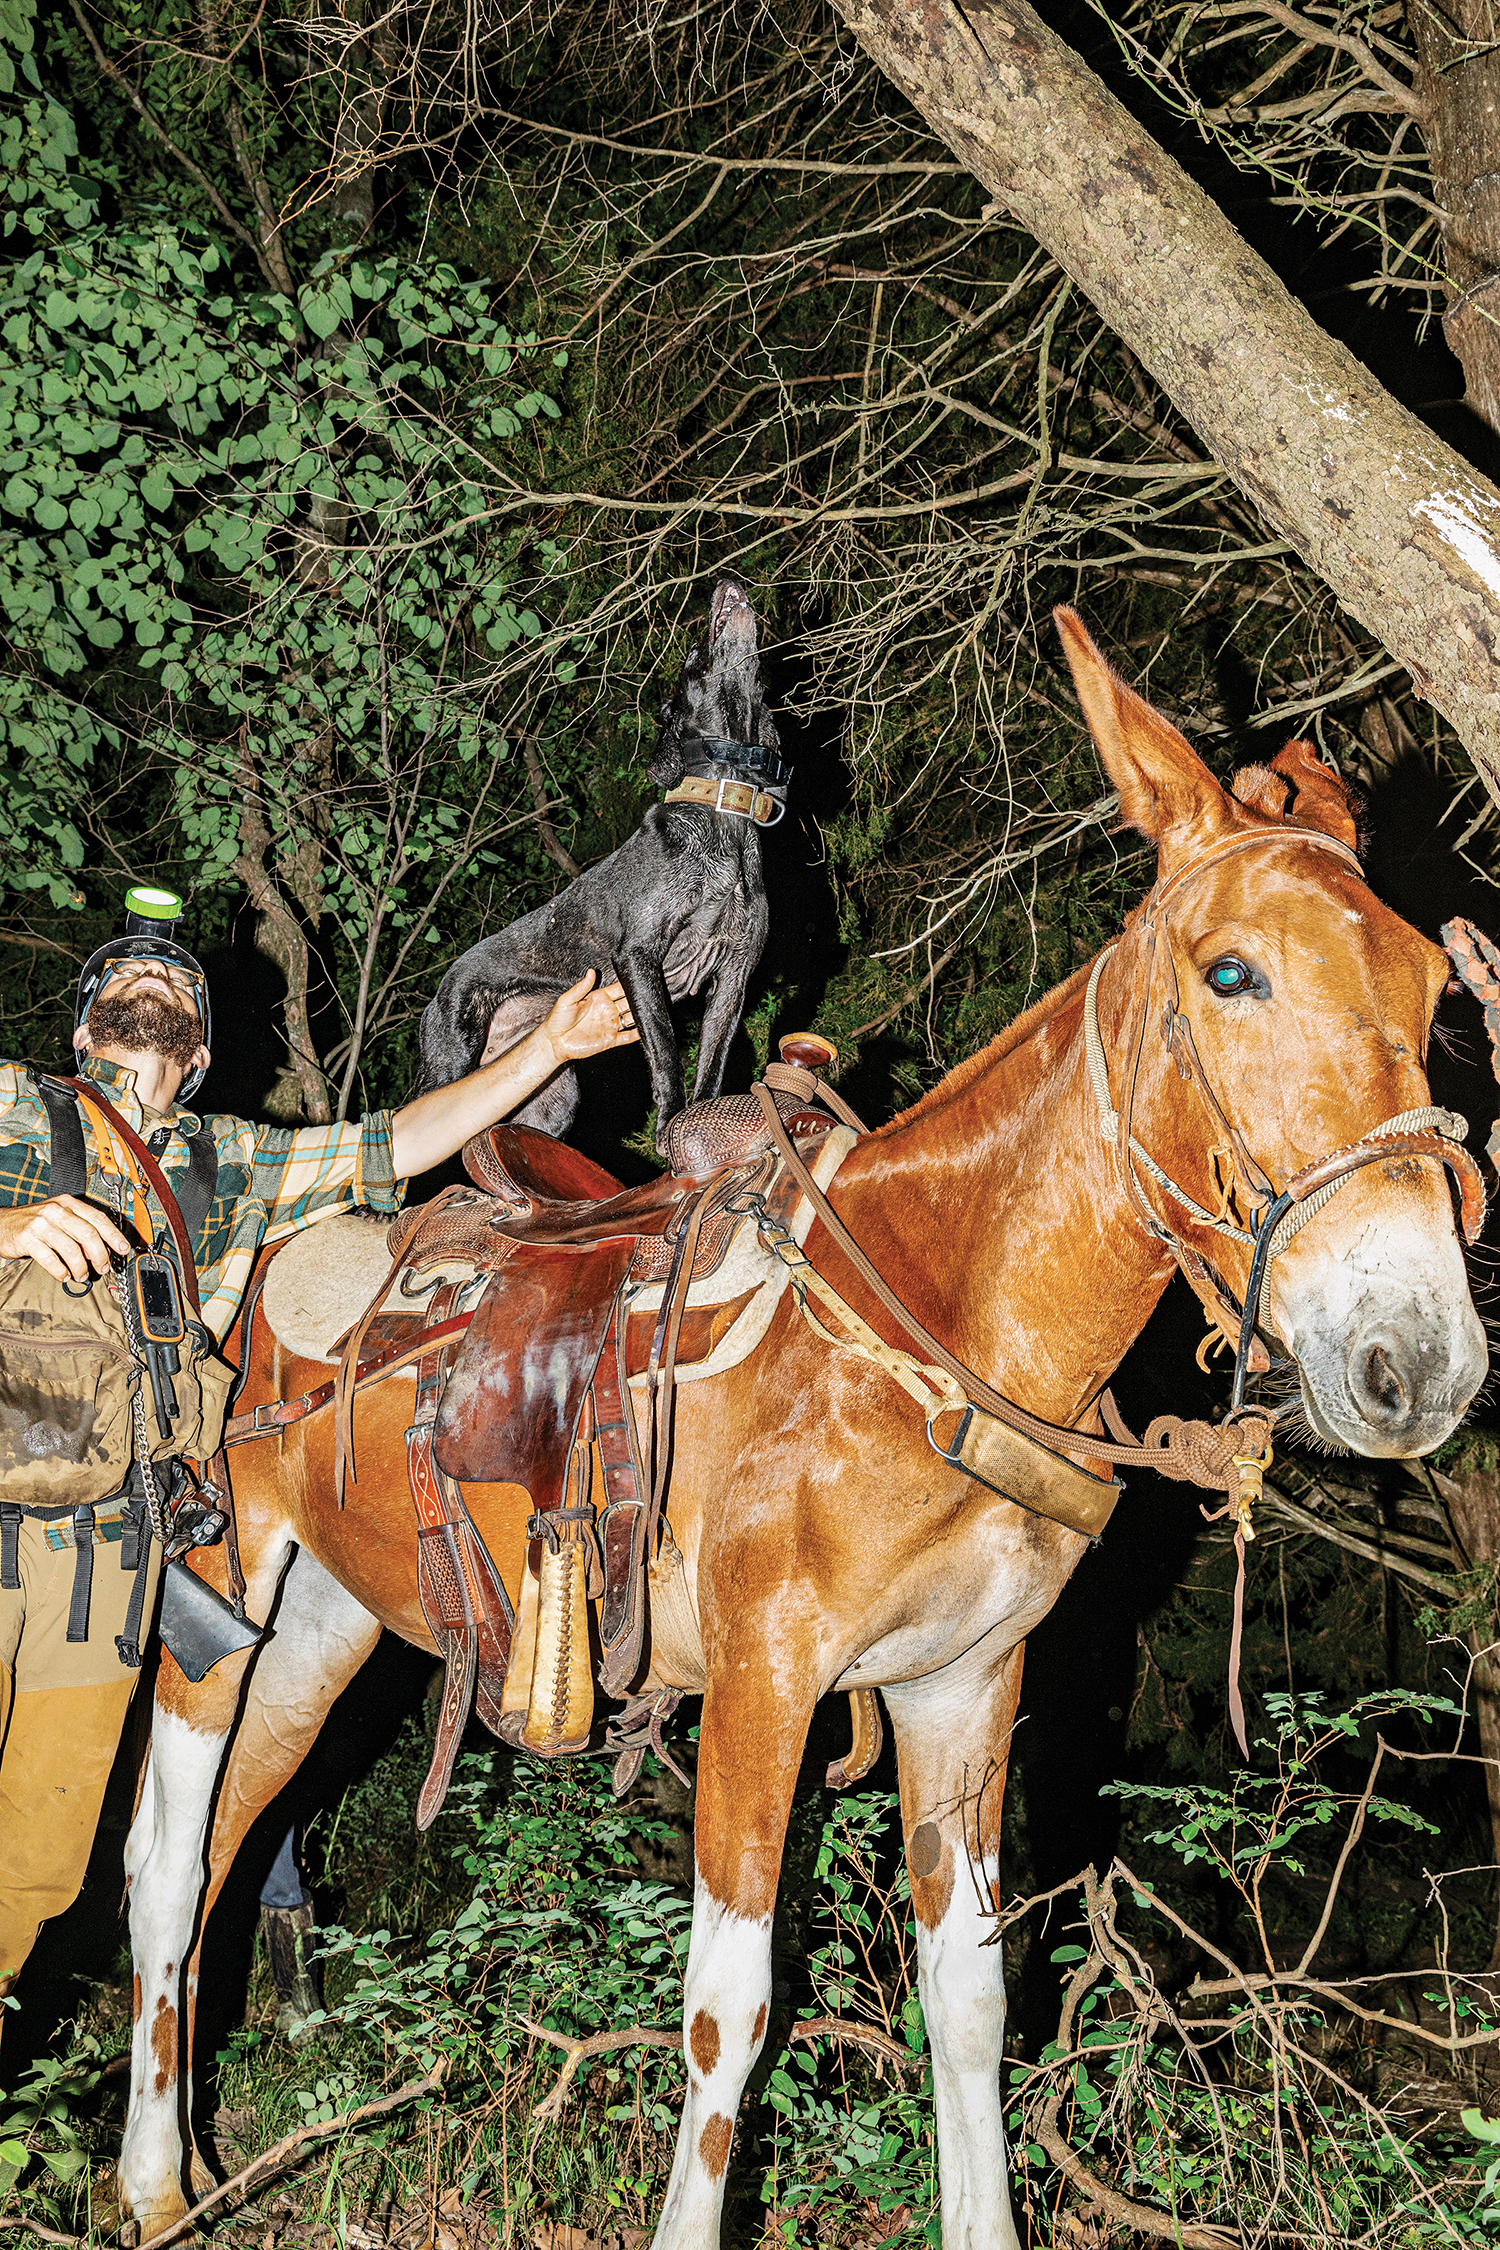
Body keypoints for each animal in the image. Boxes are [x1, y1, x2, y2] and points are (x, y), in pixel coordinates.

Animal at [411, 576, 787, 1143]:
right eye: (692, 655)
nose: (725, 583)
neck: (723, 815)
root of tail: (437, 994)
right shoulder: (638, 954)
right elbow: (666, 1050)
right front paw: (670, 1121)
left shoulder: (735, 973)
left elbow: (712, 1064)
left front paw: (703, 1121)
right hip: (450, 1062)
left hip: (550, 1101)